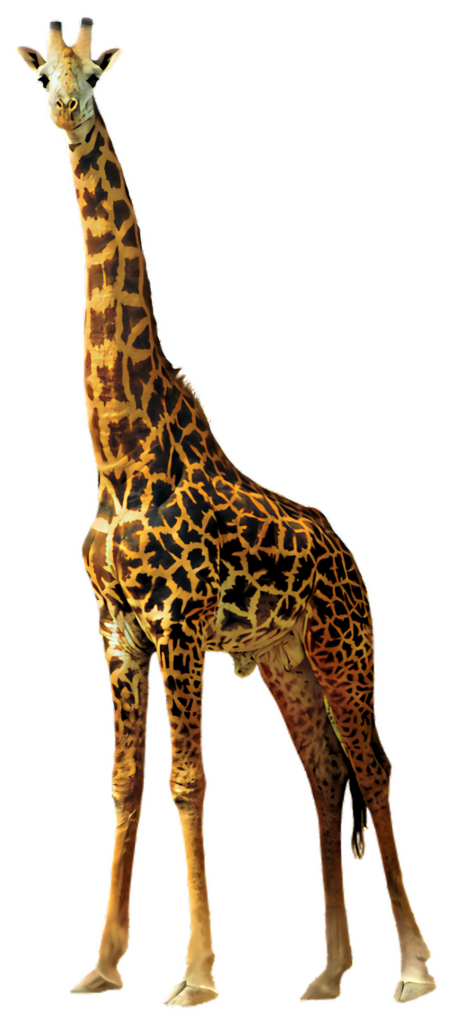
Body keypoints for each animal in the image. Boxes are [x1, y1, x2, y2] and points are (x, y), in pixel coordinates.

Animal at [14, 15, 439, 1009]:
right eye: (41, 75)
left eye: (95, 75)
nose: (64, 110)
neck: (122, 453)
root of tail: (346, 553)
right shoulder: (118, 630)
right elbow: (125, 783)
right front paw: (101, 965)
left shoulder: (180, 621)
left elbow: (187, 781)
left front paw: (195, 975)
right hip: (282, 656)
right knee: (322, 777)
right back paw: (326, 975)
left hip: (342, 646)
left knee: (374, 769)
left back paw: (411, 969)